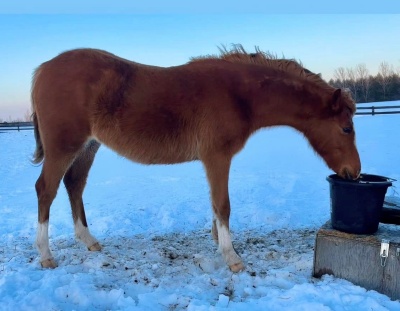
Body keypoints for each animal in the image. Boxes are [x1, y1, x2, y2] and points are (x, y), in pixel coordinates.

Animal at [32, 46, 360, 272]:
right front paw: (232, 258)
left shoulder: (212, 159)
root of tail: (43, 69)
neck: (238, 94)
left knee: (74, 184)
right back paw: (46, 256)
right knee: (46, 189)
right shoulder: (217, 156)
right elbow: (223, 205)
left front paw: (219, 243)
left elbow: (215, 204)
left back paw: (88, 241)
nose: (354, 172)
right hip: (63, 147)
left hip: (88, 146)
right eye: (346, 128)